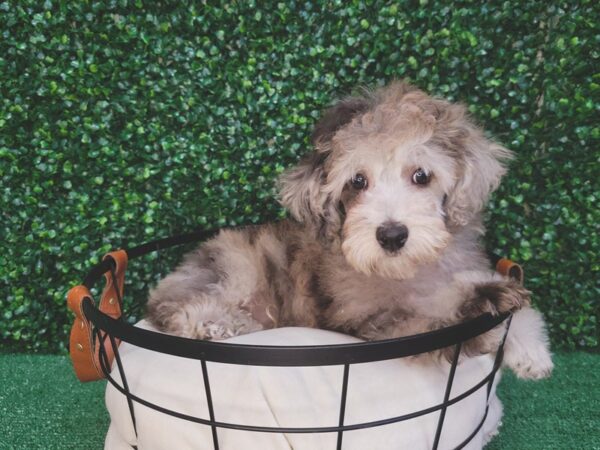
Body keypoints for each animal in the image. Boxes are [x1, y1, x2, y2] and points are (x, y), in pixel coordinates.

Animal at [145, 81, 552, 380]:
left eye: (421, 175)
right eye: (357, 181)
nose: (391, 235)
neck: (407, 273)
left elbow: (505, 299)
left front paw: (531, 351)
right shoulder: (371, 322)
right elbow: (427, 327)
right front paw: (478, 312)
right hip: (235, 265)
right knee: (173, 308)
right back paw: (216, 324)